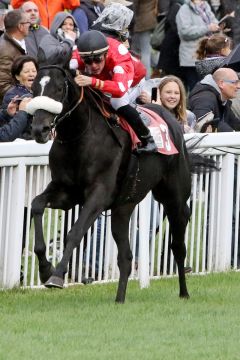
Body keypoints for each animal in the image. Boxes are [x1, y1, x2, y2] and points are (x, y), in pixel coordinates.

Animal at [28, 61, 202, 300]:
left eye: (59, 89)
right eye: (34, 88)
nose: (39, 129)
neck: (80, 137)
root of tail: (171, 118)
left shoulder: (99, 195)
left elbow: (74, 232)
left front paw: (57, 276)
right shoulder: (65, 193)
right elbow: (36, 205)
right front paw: (45, 269)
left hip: (174, 198)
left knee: (178, 245)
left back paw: (184, 293)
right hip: (123, 207)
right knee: (126, 257)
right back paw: (119, 299)